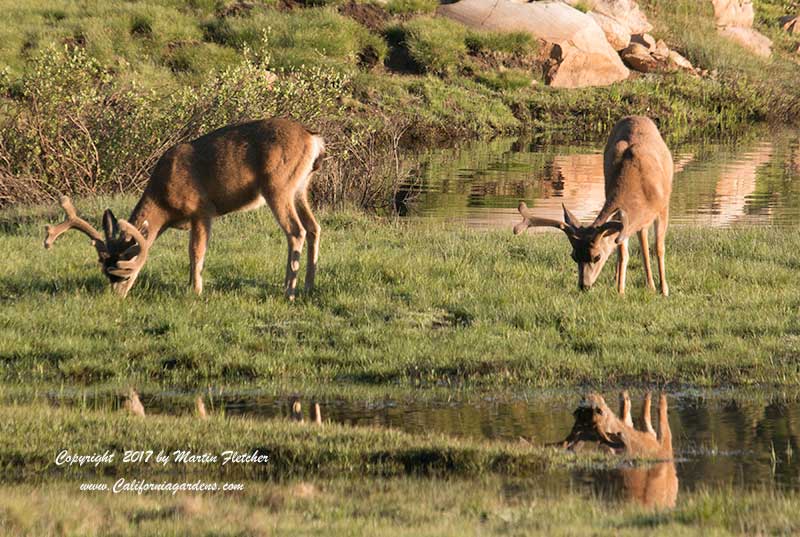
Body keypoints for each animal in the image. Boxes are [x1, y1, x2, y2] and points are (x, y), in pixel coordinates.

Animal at [42, 118, 324, 300]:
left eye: (123, 272)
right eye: (105, 271)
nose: (117, 296)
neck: (164, 203)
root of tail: (313, 139)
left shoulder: (201, 210)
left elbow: (196, 251)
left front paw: (195, 290)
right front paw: (192, 285)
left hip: (278, 185)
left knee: (296, 231)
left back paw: (288, 291)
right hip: (300, 187)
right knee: (313, 227)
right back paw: (308, 287)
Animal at [512, 114, 676, 296]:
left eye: (597, 257)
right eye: (574, 256)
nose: (584, 286)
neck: (640, 186)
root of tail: (635, 116)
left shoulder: (663, 208)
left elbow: (659, 248)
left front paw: (664, 290)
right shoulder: (622, 218)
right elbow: (623, 253)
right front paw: (621, 291)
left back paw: (653, 285)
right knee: (640, 239)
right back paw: (639, 283)